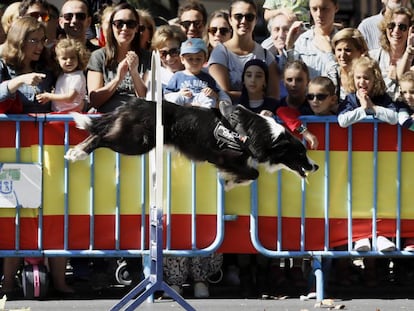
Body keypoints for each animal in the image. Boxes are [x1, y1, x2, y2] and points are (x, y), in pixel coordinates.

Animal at [64, 98, 318, 190]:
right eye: (300, 154)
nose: (315, 166)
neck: (265, 135)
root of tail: (132, 103)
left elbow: (251, 173)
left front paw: (230, 182)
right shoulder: (225, 157)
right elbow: (253, 173)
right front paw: (230, 183)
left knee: (97, 133)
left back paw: (75, 151)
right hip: (135, 142)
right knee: (100, 138)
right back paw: (77, 154)